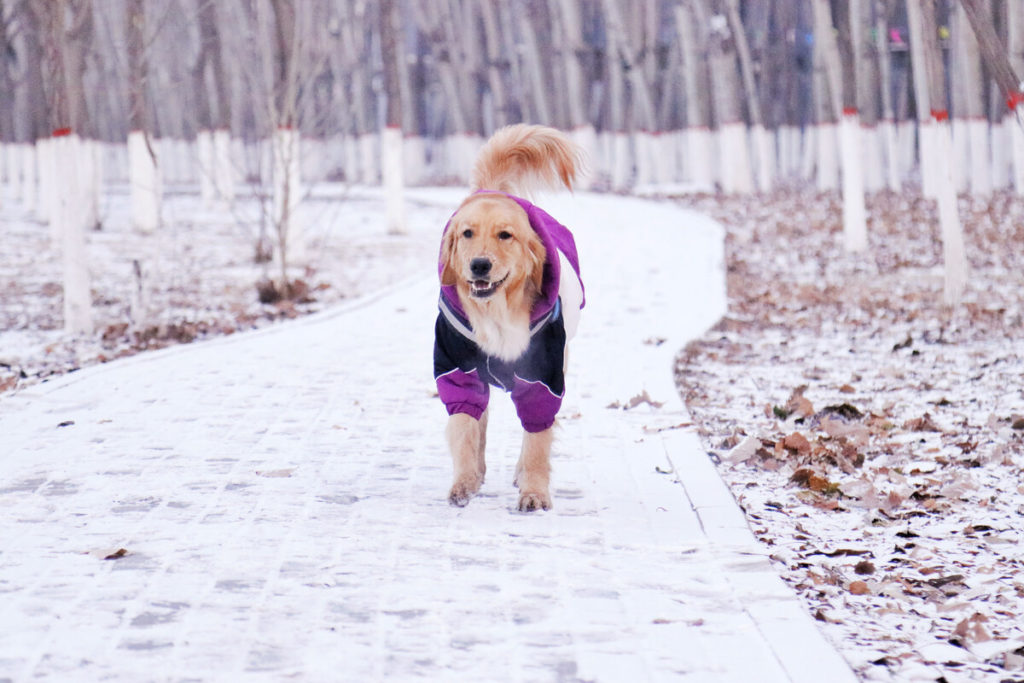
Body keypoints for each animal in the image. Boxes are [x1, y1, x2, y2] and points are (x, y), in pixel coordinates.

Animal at [430, 125, 585, 511]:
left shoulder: (543, 377)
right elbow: (465, 428)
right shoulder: (457, 369)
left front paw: (534, 491)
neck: (496, 314)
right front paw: (464, 482)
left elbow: (537, 440)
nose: (479, 265)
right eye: (467, 233)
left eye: (505, 235)